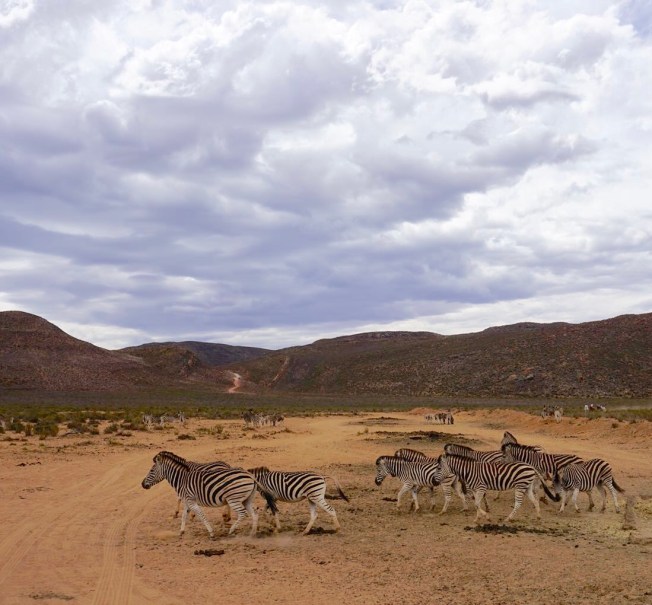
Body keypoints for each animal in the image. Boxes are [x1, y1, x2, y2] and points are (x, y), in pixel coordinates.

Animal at [141, 451, 277, 538]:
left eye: (152, 470)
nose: (142, 484)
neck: (182, 479)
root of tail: (251, 476)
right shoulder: (187, 501)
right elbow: (184, 516)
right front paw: (181, 532)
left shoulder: (191, 500)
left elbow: (201, 515)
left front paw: (211, 533)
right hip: (247, 499)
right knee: (254, 514)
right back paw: (252, 533)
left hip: (234, 499)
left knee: (243, 514)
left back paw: (231, 531)